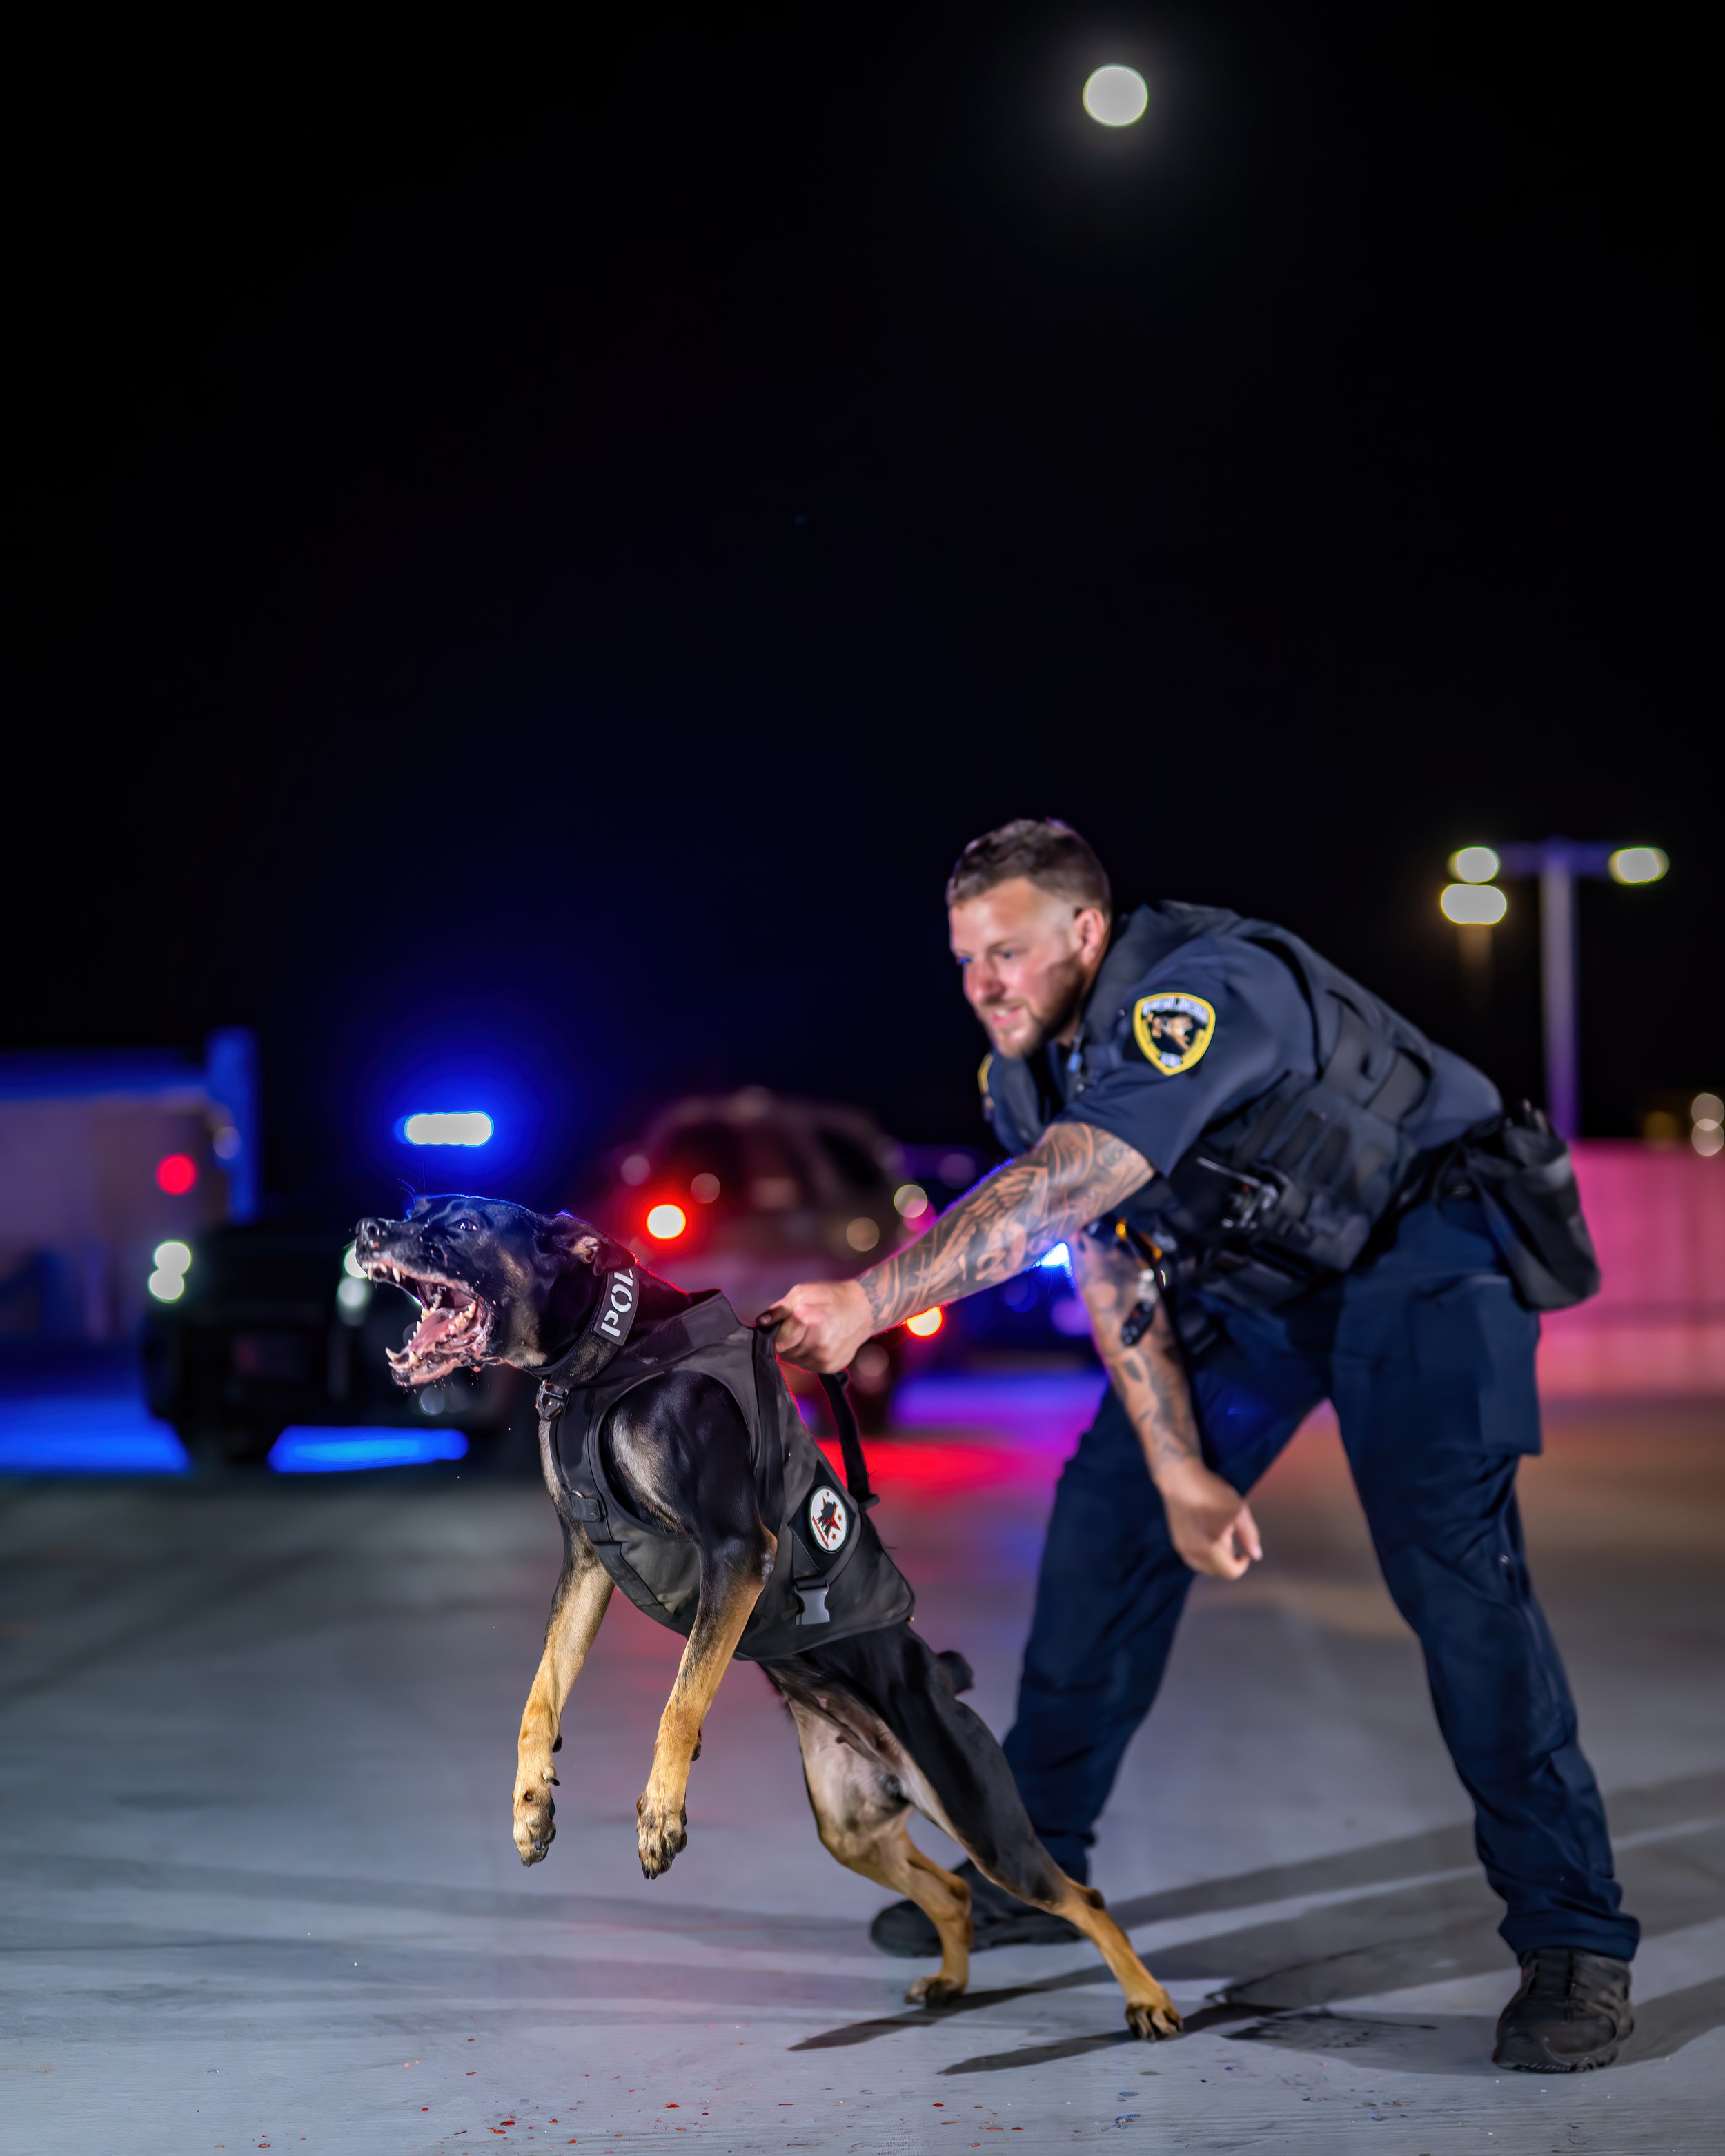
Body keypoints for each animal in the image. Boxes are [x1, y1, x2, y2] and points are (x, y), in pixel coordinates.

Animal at [353, 1193, 1182, 2039]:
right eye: (415, 1208)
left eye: (463, 1227)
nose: (369, 1230)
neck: (608, 1355)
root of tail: (938, 1686)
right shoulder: (585, 1560)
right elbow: (539, 1698)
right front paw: (531, 1805)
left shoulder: (736, 1549)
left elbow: (681, 1700)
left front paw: (660, 1811)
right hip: (850, 1826)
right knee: (951, 1892)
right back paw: (951, 1979)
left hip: (982, 1818)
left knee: (1079, 1897)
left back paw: (1148, 1999)